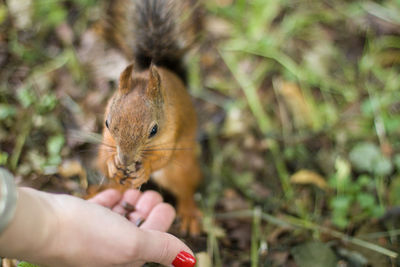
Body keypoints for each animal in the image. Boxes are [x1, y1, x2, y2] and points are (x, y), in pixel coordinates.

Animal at [95, 0, 203, 234]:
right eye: (107, 122)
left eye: (154, 130)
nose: (125, 160)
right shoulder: (107, 138)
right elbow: (109, 151)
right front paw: (113, 163)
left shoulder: (172, 134)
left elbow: (162, 157)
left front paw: (144, 170)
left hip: (180, 170)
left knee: (186, 189)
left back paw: (189, 213)